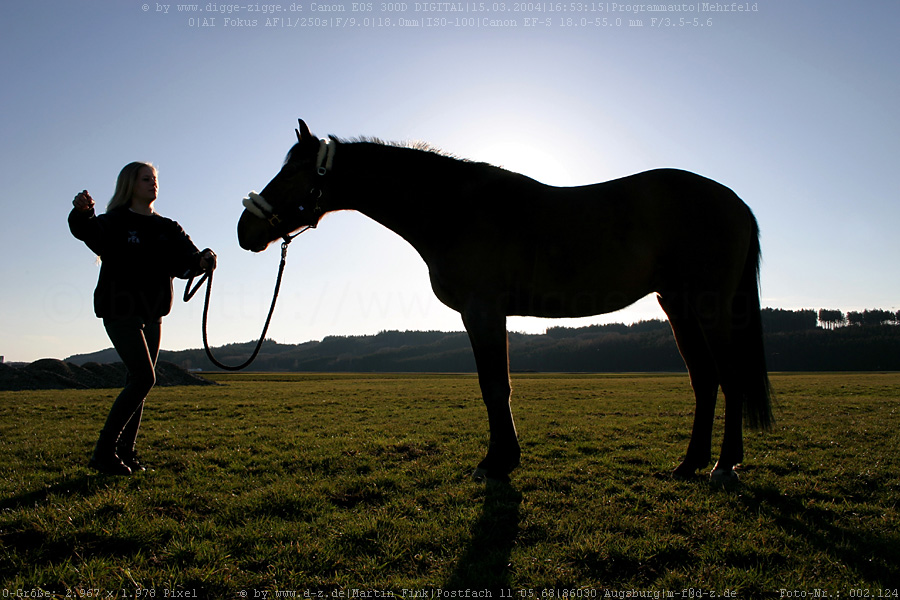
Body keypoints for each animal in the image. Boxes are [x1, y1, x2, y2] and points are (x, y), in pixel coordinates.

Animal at [237, 119, 772, 486]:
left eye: (291, 174)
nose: (246, 231)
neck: (454, 209)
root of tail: (735, 201)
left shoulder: (483, 312)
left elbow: (495, 386)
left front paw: (497, 462)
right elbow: (494, 385)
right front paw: (503, 458)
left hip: (708, 305)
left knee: (729, 377)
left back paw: (724, 466)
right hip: (677, 304)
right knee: (704, 379)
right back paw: (690, 463)